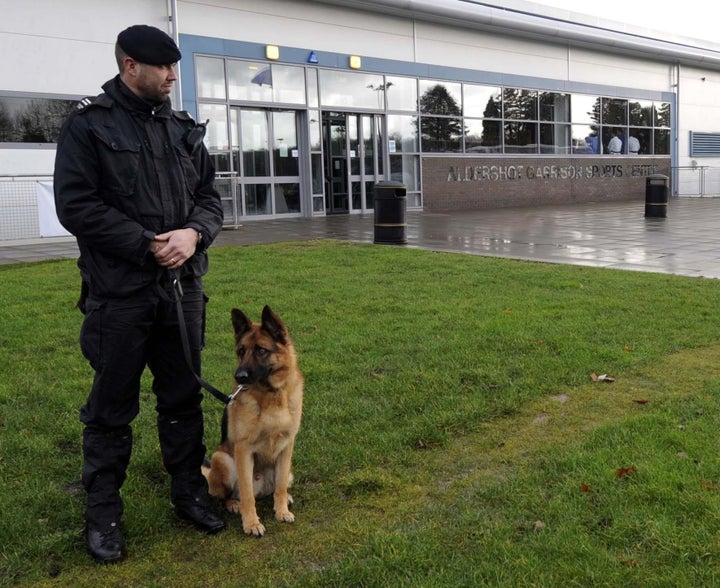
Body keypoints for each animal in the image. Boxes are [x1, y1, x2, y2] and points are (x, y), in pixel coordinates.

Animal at [202, 308, 304, 536]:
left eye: (261, 350)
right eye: (241, 351)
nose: (239, 376)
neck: (272, 395)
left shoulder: (287, 446)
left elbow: (280, 486)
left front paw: (281, 511)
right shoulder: (243, 449)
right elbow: (247, 495)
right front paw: (251, 523)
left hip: (289, 469)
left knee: (276, 487)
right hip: (223, 459)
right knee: (228, 496)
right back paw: (234, 504)